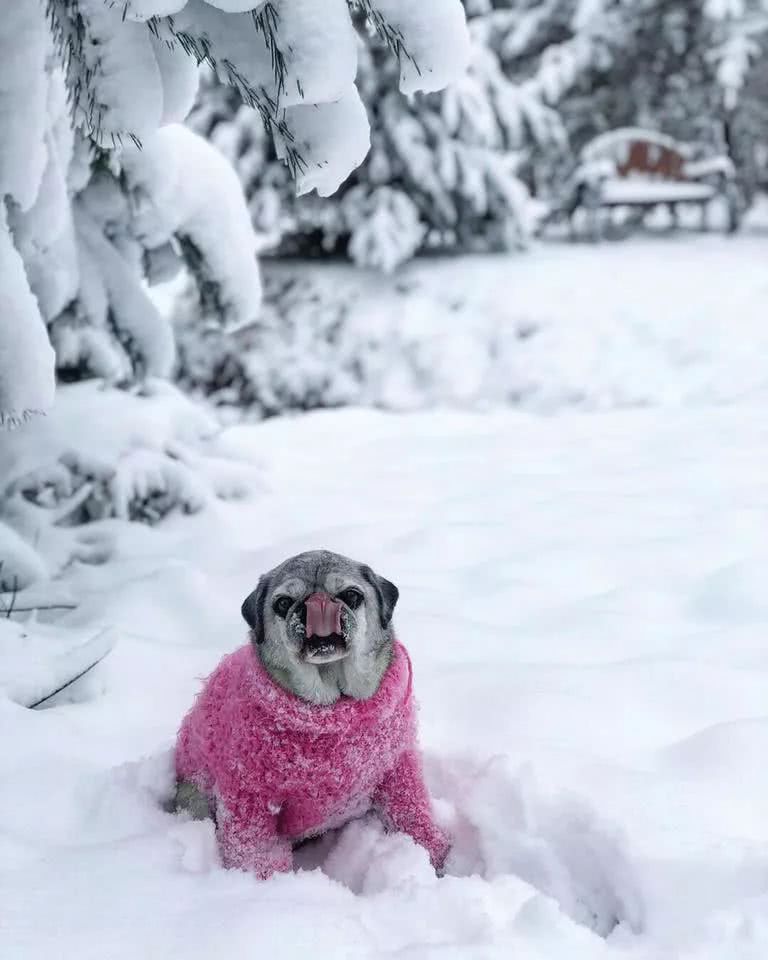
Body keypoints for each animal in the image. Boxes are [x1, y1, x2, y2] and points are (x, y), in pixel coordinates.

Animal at [174, 552, 450, 880]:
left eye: (351, 596)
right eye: (283, 603)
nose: (317, 604)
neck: (333, 706)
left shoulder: (397, 769)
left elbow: (411, 813)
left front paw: (432, 856)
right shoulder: (249, 797)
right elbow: (255, 851)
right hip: (194, 795)